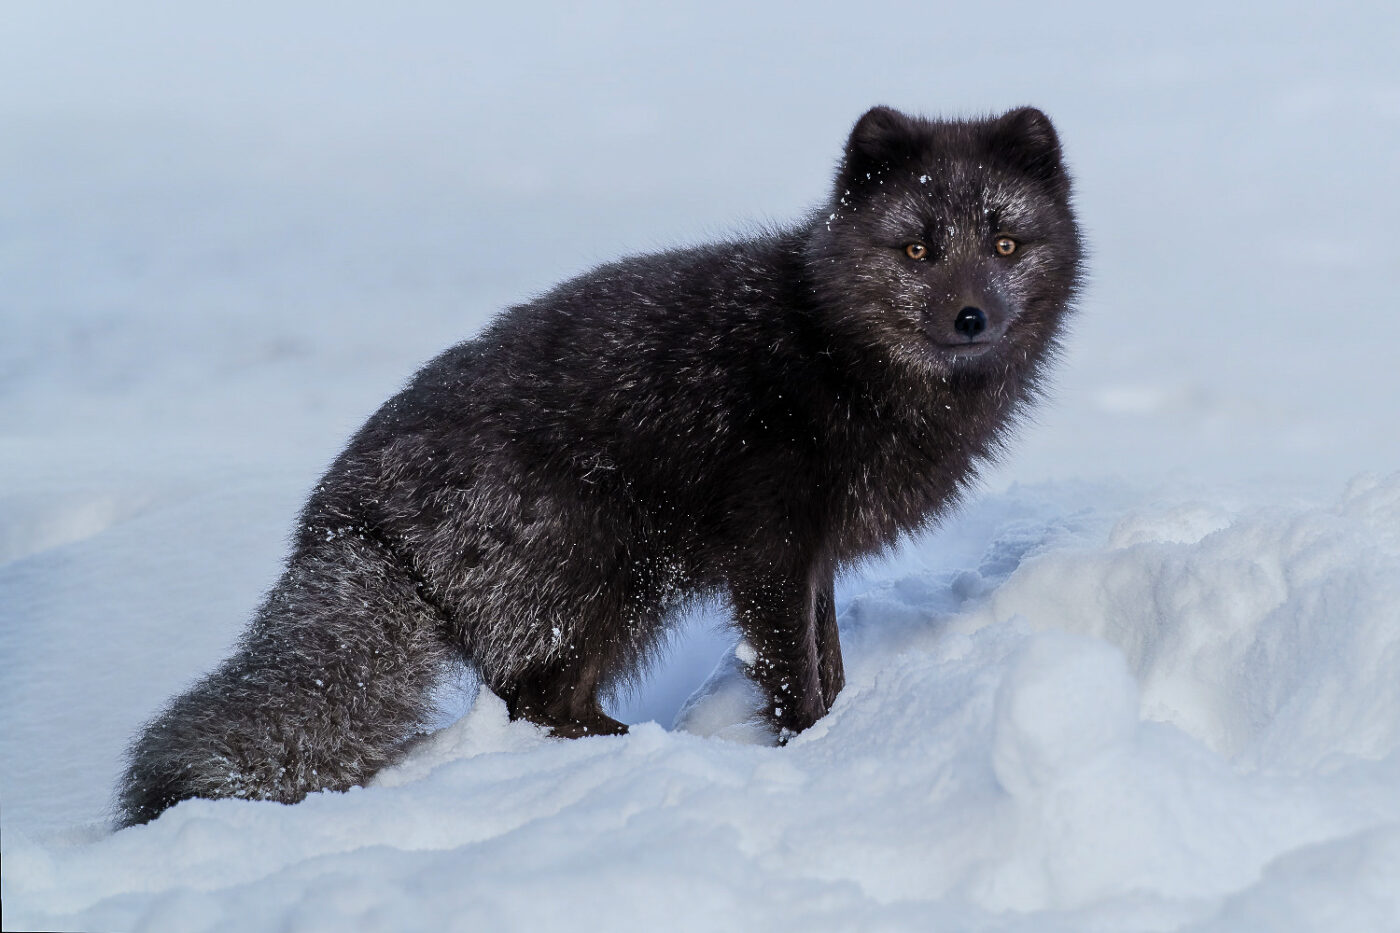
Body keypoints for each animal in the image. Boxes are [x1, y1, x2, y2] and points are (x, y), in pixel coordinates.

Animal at [118, 105, 1084, 827]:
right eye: (917, 249)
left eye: (1003, 244)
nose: (970, 317)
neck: (834, 356)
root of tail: (345, 500)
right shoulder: (770, 548)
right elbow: (794, 671)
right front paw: (813, 755)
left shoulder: (813, 556)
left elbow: (830, 658)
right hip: (605, 584)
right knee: (541, 705)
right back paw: (640, 756)